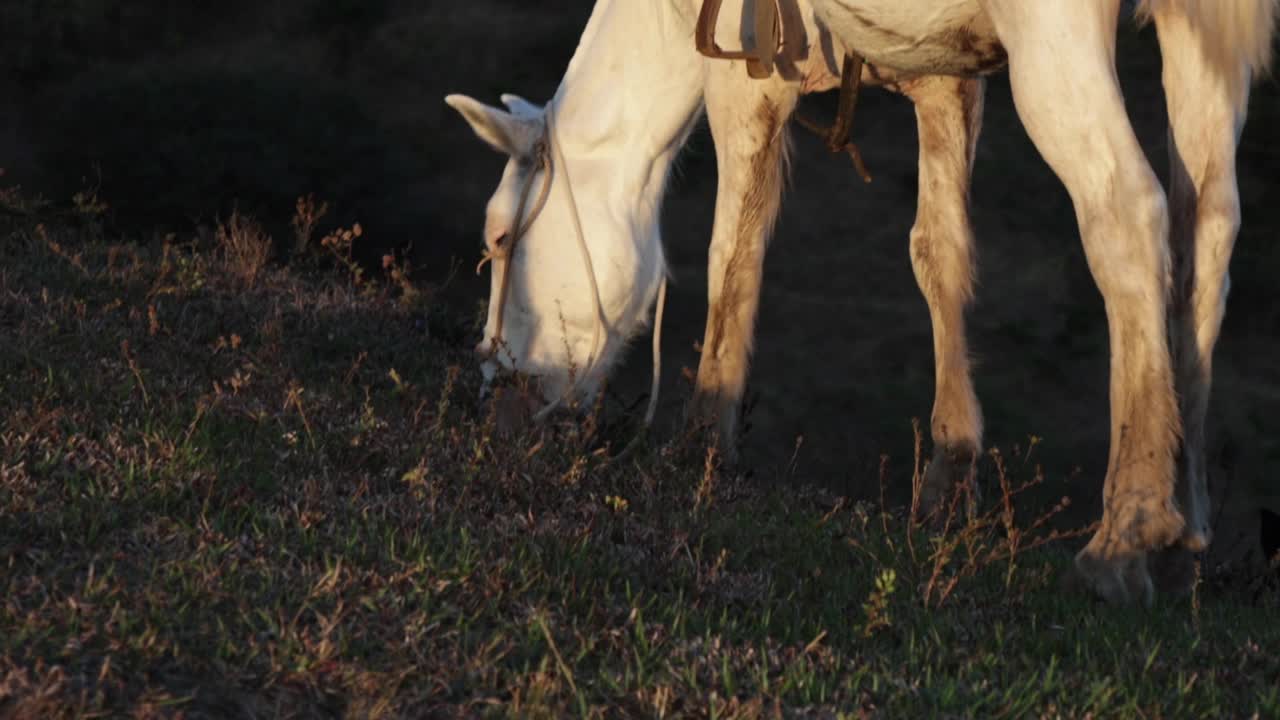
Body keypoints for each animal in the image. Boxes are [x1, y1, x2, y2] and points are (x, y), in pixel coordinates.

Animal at [445, 0, 1278, 606]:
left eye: (499, 238)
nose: (497, 407)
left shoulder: (743, 78)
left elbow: (734, 247)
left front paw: (703, 442)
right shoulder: (946, 78)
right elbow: (939, 253)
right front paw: (947, 478)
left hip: (1059, 44)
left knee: (1128, 215)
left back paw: (1126, 535)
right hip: (1196, 40)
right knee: (1206, 230)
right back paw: (1185, 533)